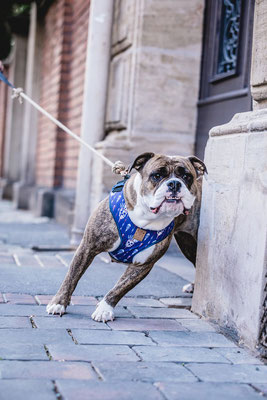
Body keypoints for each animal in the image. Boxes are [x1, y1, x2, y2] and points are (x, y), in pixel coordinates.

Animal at [46, 153, 207, 322]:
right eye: (156, 175)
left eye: (187, 177)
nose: (175, 184)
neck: (146, 218)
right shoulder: (87, 247)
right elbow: (72, 277)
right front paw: (58, 303)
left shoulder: (143, 265)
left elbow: (119, 288)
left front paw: (104, 309)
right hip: (187, 244)